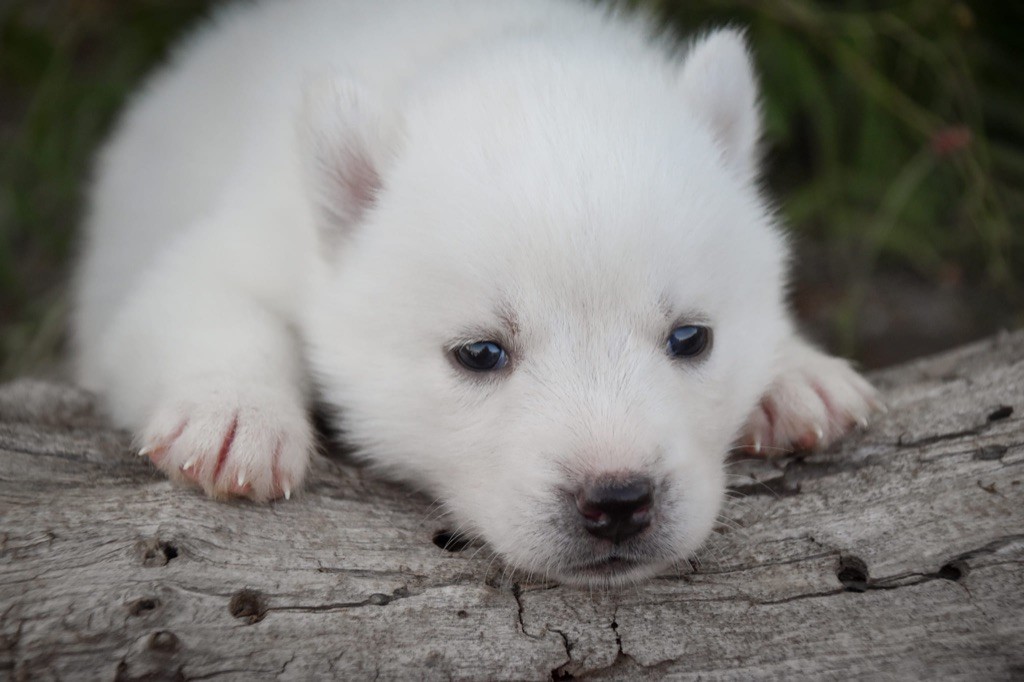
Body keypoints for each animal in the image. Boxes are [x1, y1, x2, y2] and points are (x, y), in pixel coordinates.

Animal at [74, 0, 872, 585]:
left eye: (691, 338)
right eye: (480, 353)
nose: (618, 501)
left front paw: (799, 375)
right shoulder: (244, 234)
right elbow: (201, 298)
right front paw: (235, 419)